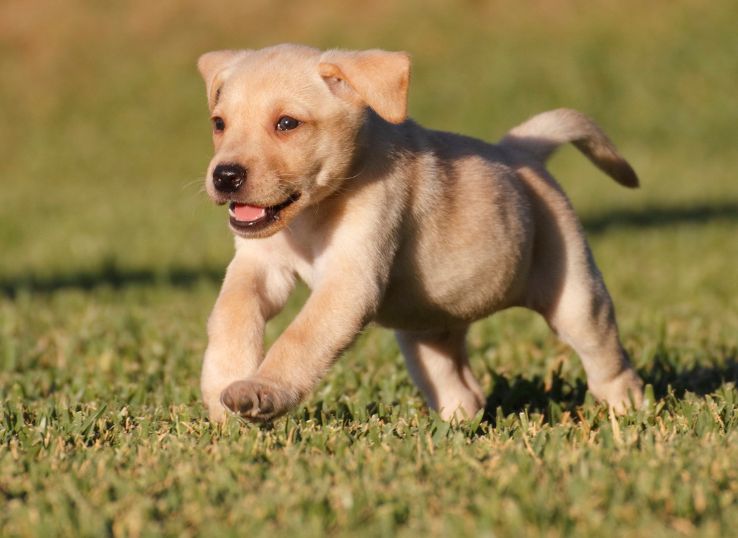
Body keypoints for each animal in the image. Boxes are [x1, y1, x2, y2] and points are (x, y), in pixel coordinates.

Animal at [198, 44, 640, 420]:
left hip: (577, 300)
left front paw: (263, 390)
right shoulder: (259, 267)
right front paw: (221, 390)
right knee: (461, 389)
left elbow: (300, 338)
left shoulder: (349, 281)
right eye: (219, 124)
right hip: (426, 331)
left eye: (287, 123)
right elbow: (231, 314)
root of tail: (520, 152)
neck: (311, 214)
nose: (225, 176)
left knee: (611, 364)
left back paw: (626, 410)